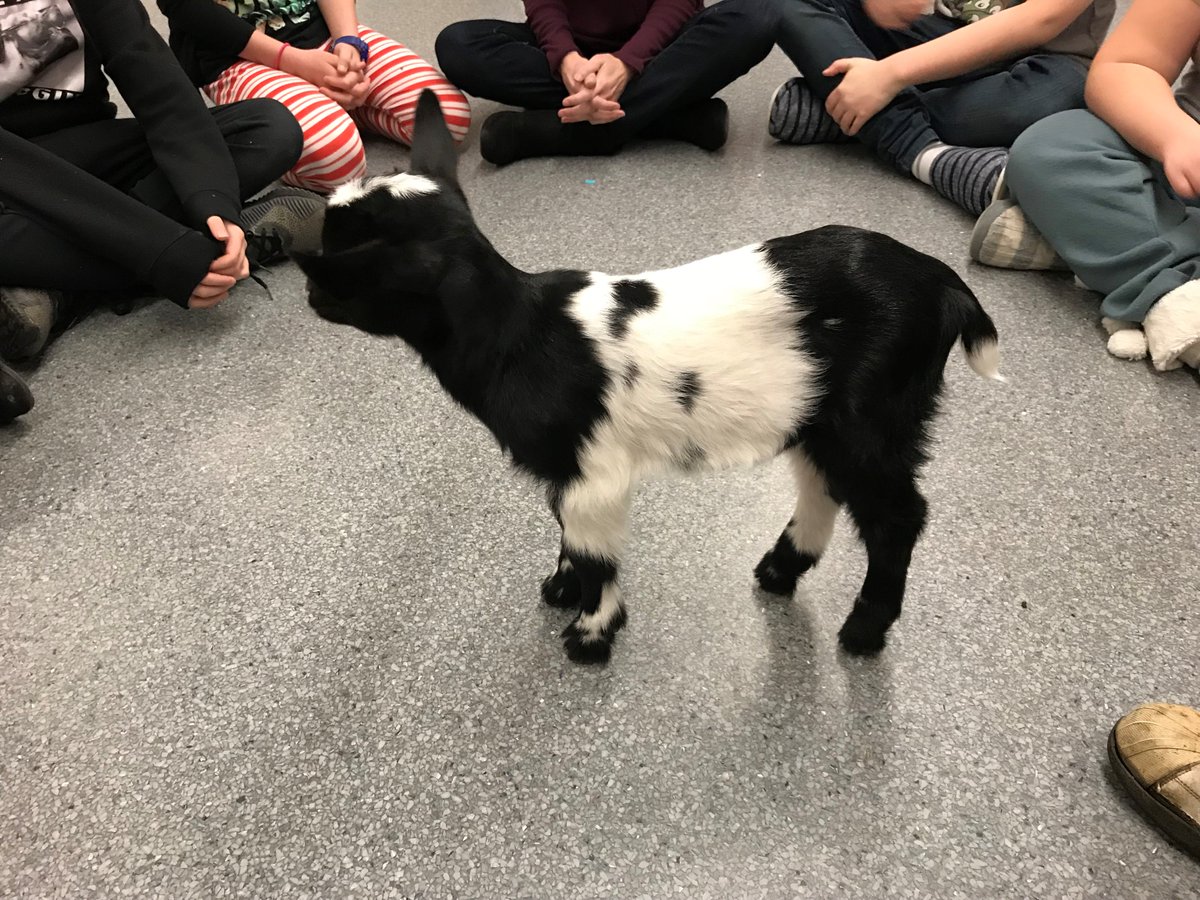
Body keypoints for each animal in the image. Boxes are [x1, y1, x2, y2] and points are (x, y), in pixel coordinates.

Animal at [295, 91, 1003, 665]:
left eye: (342, 268)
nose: (308, 296)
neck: (519, 332)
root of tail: (947, 288)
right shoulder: (567, 469)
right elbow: (566, 531)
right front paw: (561, 589)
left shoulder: (594, 470)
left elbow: (594, 549)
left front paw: (591, 634)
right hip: (821, 414)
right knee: (824, 485)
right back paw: (779, 572)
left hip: (874, 412)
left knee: (897, 516)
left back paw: (862, 631)